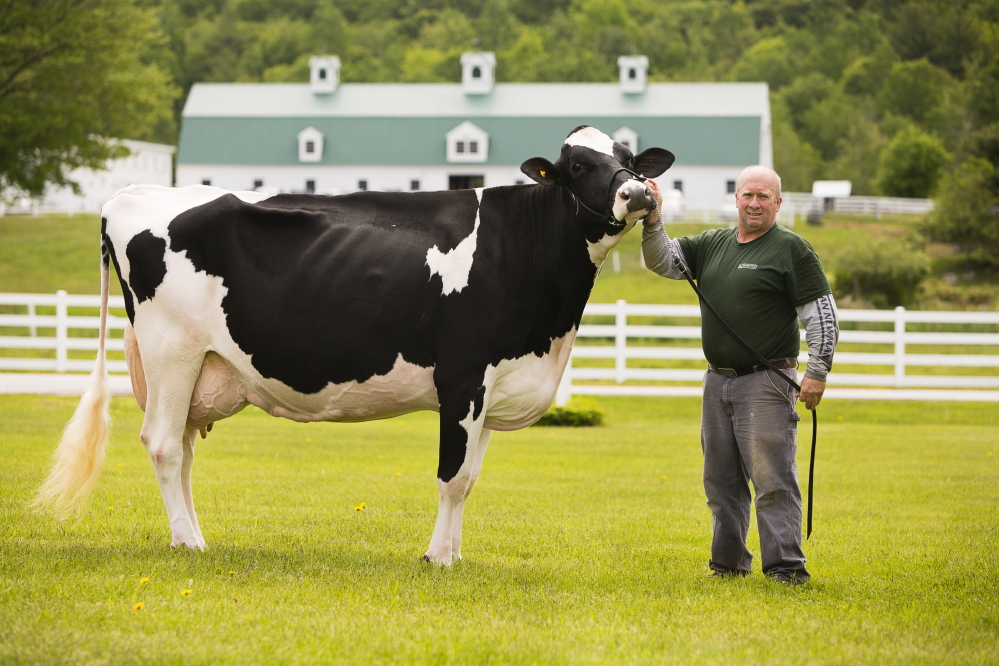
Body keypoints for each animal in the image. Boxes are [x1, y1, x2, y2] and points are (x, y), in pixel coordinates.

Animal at [41, 124, 680, 560]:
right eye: (576, 166)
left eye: (629, 159)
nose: (639, 194)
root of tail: (130, 195)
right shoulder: (463, 376)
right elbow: (453, 477)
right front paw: (437, 558)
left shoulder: (495, 382)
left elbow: (470, 479)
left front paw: (455, 554)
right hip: (171, 349)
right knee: (163, 445)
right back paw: (188, 543)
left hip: (201, 364)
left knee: (182, 448)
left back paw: (193, 535)